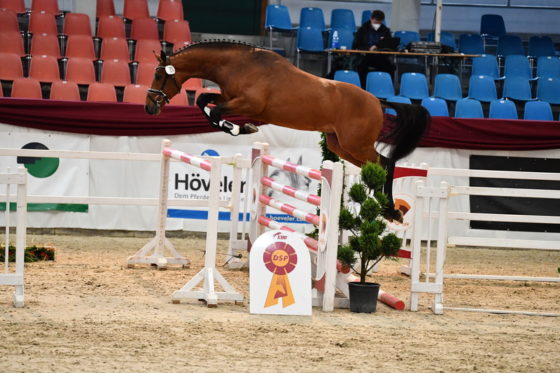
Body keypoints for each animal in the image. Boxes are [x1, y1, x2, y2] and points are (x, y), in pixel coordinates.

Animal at [144, 40, 428, 221]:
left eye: (158, 75)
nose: (149, 107)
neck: (239, 64)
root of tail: (378, 101)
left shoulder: (247, 104)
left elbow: (214, 113)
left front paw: (239, 129)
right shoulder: (231, 99)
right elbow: (204, 101)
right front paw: (239, 127)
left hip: (356, 144)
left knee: (386, 163)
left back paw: (390, 210)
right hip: (341, 145)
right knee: (377, 167)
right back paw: (387, 209)